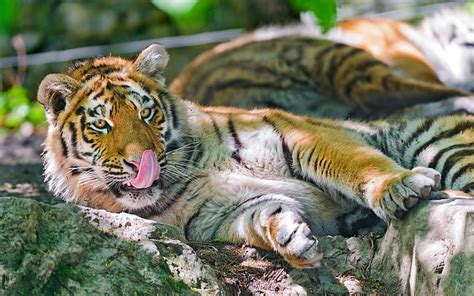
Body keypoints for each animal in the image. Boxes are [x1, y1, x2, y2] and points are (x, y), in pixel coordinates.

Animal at [39, 44, 472, 268]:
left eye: (146, 113)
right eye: (102, 124)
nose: (140, 161)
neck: (189, 170)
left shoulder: (302, 136)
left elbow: (357, 164)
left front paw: (399, 185)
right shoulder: (222, 213)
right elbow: (263, 216)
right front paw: (291, 238)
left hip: (435, 141)